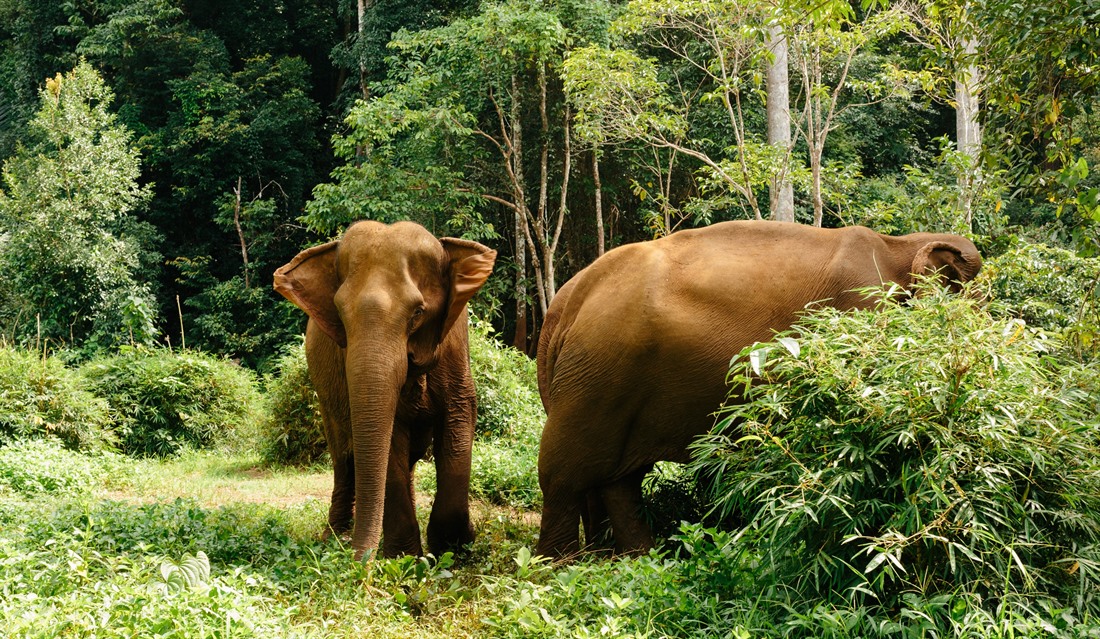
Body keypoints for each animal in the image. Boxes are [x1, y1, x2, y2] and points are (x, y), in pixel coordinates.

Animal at [272, 221, 497, 558]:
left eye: (418, 312)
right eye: (340, 316)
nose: (358, 564)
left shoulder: (455, 344)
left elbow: (458, 419)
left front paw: (455, 548)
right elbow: (389, 435)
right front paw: (405, 557)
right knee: (343, 458)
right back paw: (335, 538)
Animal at [532, 218, 981, 558]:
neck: (900, 244)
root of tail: (564, 305)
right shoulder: (863, 310)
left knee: (617, 480)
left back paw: (637, 560)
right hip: (597, 372)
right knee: (563, 474)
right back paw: (558, 566)